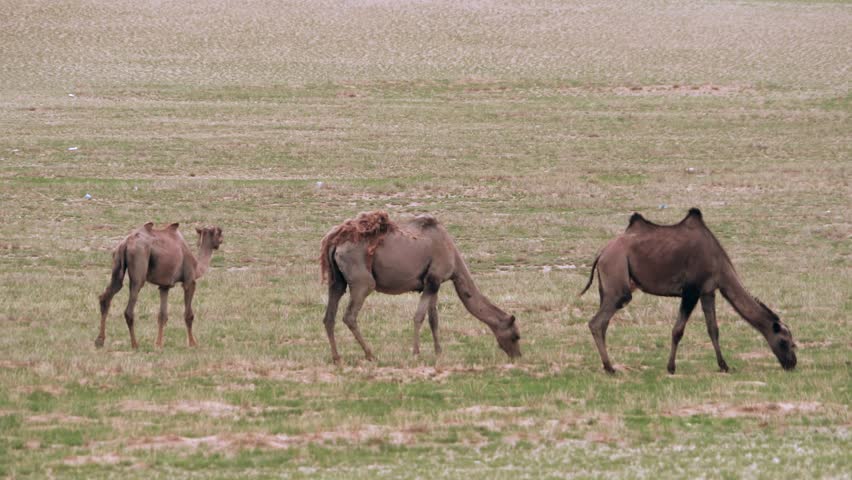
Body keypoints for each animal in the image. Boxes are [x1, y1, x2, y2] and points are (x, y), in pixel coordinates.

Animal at [319, 211, 520, 363]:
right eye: (515, 336)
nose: (518, 356)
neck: (453, 257)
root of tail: (334, 242)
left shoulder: (433, 283)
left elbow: (433, 318)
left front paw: (439, 352)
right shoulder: (433, 279)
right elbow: (419, 316)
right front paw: (416, 352)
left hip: (337, 280)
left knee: (329, 315)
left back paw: (337, 358)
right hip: (362, 280)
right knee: (350, 315)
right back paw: (371, 355)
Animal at [580, 208, 796, 374]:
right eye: (784, 341)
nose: (792, 363)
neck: (719, 263)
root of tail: (601, 253)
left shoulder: (708, 291)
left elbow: (713, 329)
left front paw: (724, 366)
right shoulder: (691, 290)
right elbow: (678, 330)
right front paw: (671, 368)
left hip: (606, 287)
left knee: (603, 322)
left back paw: (608, 366)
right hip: (618, 280)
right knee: (597, 321)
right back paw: (610, 368)